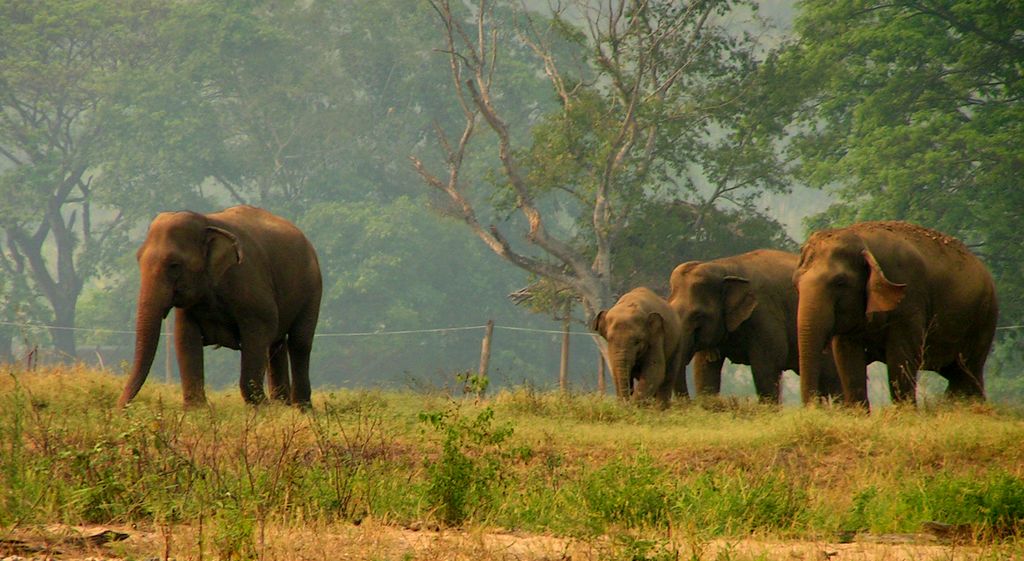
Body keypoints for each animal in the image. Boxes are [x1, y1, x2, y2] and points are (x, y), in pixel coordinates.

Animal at [114, 205, 319, 407]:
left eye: (174, 265)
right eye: (138, 259)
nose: (121, 408)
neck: (207, 222)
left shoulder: (250, 284)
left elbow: (259, 332)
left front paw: (260, 406)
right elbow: (184, 337)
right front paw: (197, 409)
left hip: (312, 289)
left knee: (299, 342)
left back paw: (300, 408)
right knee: (277, 345)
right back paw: (282, 405)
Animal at [790, 220, 999, 407]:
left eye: (840, 282)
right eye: (796, 283)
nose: (814, 407)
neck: (863, 240)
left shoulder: (909, 299)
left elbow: (901, 358)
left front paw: (905, 413)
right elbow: (847, 359)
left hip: (984, 317)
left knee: (967, 370)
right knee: (958, 373)